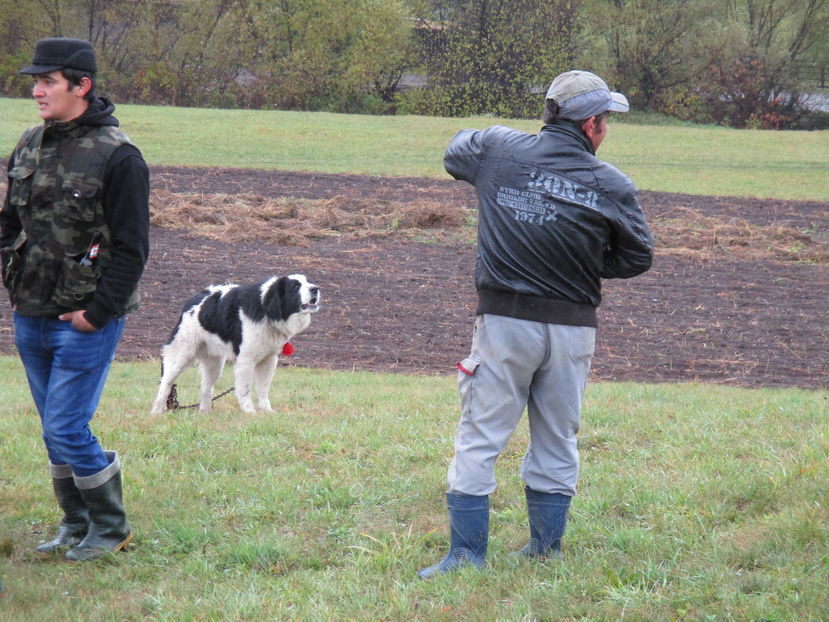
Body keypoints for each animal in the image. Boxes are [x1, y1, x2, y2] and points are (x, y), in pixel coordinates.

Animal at [150, 276, 318, 414]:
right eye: (295, 286)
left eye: (307, 281)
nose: (315, 288)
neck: (266, 308)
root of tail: (194, 299)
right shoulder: (245, 360)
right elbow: (245, 388)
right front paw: (250, 412)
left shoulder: (269, 360)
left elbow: (263, 388)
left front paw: (266, 411)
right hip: (181, 354)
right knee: (165, 383)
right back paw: (156, 412)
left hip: (214, 364)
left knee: (206, 387)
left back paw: (204, 413)